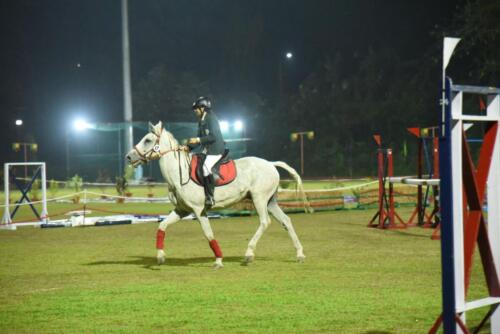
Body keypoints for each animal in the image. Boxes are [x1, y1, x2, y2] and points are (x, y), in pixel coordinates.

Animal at [126, 121, 308, 268]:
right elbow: (162, 226)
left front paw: (219, 260)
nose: (129, 157)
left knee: (265, 222)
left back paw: (249, 254)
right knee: (286, 221)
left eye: (148, 140)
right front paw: (160, 257)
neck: (178, 174)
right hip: (270, 201)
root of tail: (270, 164)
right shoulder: (181, 210)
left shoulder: (199, 210)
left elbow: (208, 234)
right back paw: (299, 254)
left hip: (259, 198)